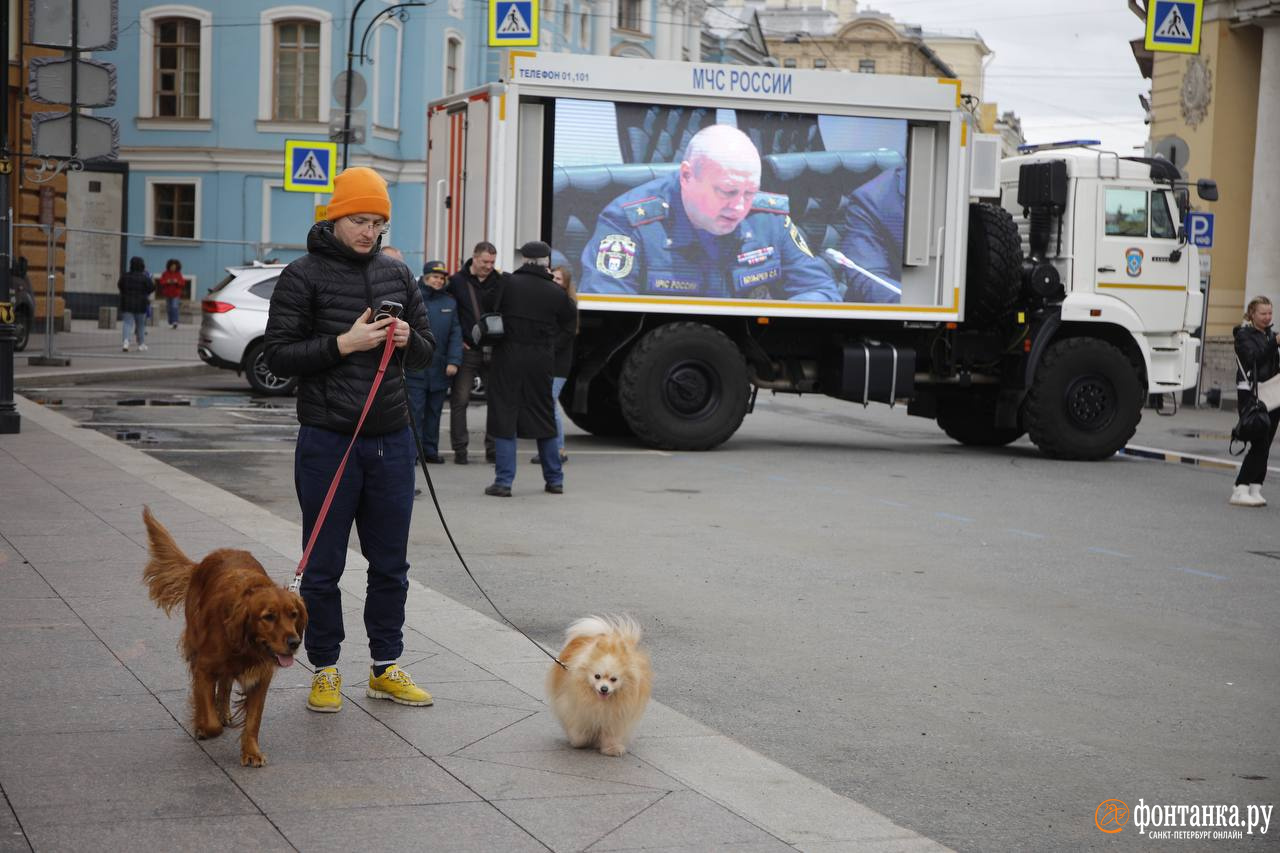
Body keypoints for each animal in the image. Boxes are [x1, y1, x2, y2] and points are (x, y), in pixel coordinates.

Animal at [143, 504, 307, 763]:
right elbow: (209, 716)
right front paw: (204, 726)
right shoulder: (203, 666)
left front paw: (251, 752)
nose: (295, 642)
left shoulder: (261, 677)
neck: (247, 645)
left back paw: (224, 710)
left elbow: (253, 719)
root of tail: (206, 559)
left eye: (293, 614)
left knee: (226, 684)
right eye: (268, 617)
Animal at [545, 612, 655, 758]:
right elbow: (580, 730)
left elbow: (611, 734)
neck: (601, 703)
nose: (604, 688)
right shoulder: (578, 710)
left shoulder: (616, 716)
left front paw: (612, 748)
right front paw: (579, 741)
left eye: (614, 679)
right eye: (597, 676)